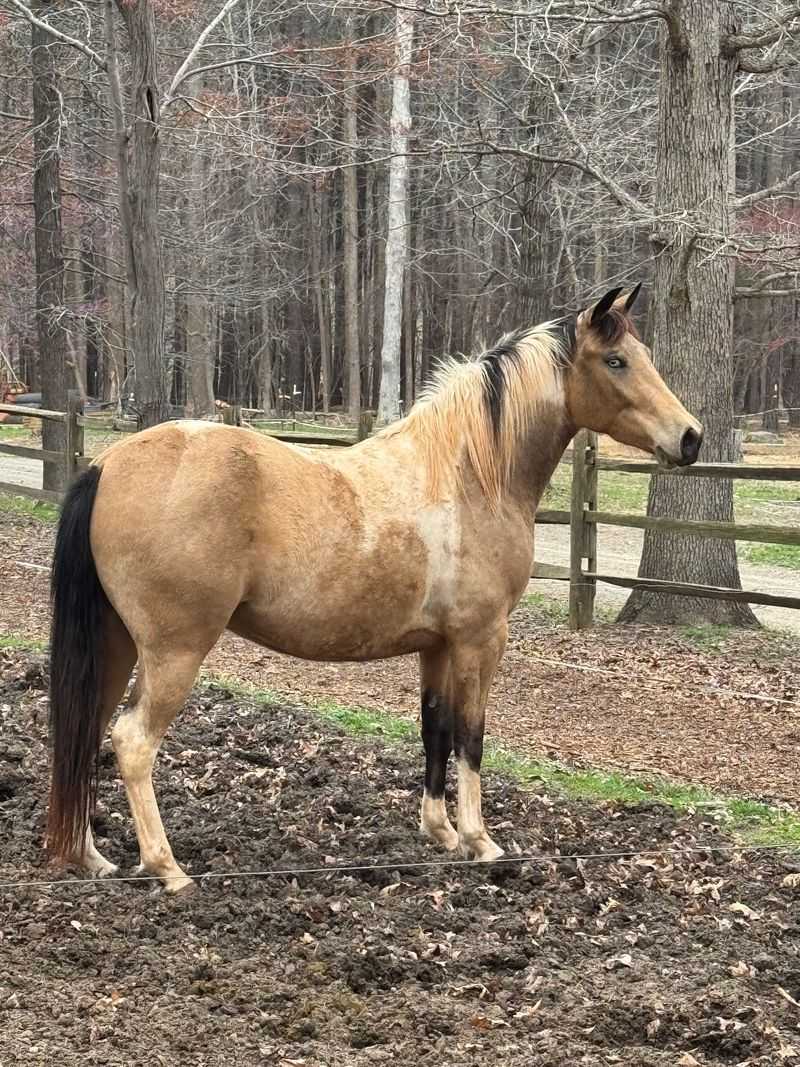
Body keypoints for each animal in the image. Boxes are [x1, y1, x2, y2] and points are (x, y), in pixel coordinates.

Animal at [47, 285, 702, 892]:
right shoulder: (479, 640)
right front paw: (480, 841)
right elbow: (471, 737)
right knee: (133, 741)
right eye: (616, 360)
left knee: (87, 730)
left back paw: (90, 857)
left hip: (115, 645)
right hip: (174, 651)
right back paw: (168, 868)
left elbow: (435, 729)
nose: (691, 438)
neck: (469, 476)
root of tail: (107, 464)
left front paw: (440, 832)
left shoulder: (436, 646)